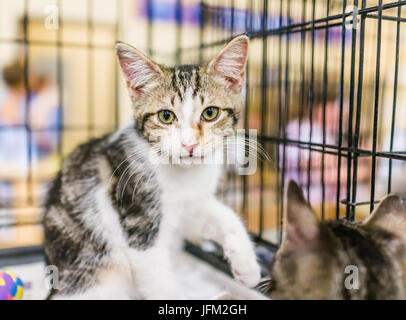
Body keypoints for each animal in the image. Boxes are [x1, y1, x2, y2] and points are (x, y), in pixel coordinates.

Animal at [43, 35, 260, 300]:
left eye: (210, 113)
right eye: (166, 116)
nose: (189, 144)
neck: (182, 175)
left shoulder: (191, 205)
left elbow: (221, 216)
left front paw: (247, 266)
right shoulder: (140, 223)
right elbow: (159, 281)